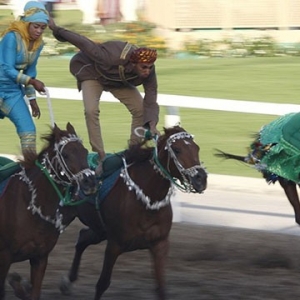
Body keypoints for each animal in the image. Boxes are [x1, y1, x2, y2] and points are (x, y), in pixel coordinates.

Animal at [59, 125, 207, 298]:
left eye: (197, 148)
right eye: (177, 150)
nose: (201, 178)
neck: (147, 203)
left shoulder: (160, 244)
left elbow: (161, 287)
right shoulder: (114, 244)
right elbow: (102, 284)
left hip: (100, 229)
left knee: (83, 238)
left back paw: (68, 282)